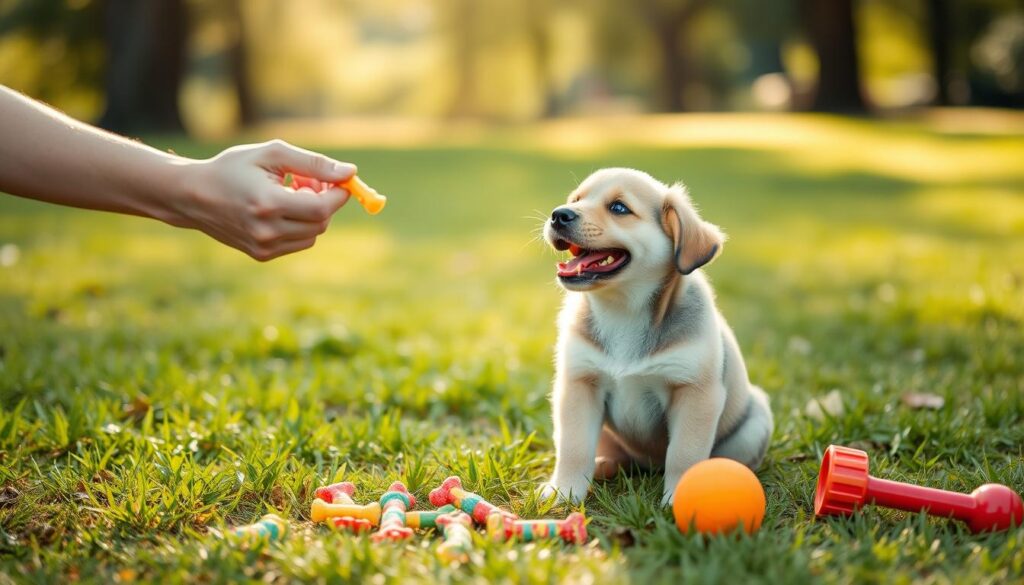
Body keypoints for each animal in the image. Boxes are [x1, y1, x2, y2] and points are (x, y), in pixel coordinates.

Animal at [540, 166, 770, 506]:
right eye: (576, 200)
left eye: (619, 208)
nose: (559, 215)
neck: (623, 310)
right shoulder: (579, 384)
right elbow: (573, 448)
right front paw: (563, 492)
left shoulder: (695, 394)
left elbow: (684, 455)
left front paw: (679, 499)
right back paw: (604, 466)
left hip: (754, 425)